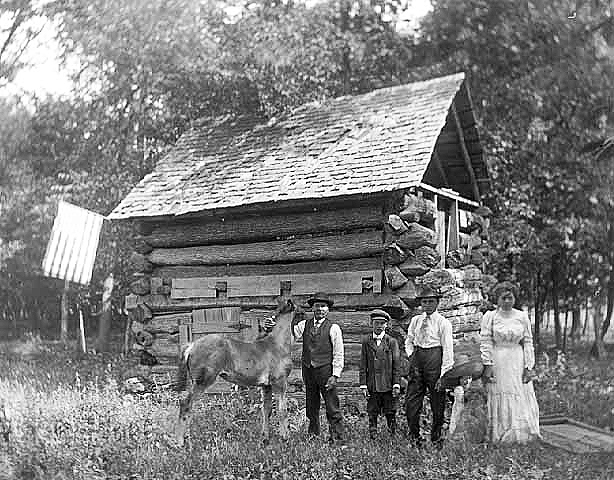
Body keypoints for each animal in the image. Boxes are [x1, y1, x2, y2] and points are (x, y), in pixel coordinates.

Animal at [173, 296, 300, 446]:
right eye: (299, 311)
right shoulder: (280, 382)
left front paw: (265, 439)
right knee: (186, 404)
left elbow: (266, 410)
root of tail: (191, 345)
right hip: (202, 381)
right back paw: (180, 442)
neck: (277, 345)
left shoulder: (266, 386)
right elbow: (282, 410)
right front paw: (285, 438)